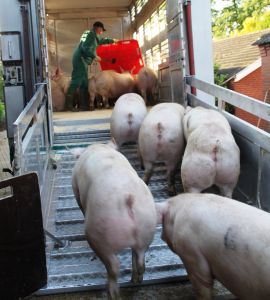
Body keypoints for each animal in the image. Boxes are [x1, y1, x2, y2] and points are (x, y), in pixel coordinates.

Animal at [71, 144, 156, 298]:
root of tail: (128, 198)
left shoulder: (76, 188)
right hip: (147, 226)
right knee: (140, 258)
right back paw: (136, 280)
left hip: (99, 232)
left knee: (114, 267)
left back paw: (112, 293)